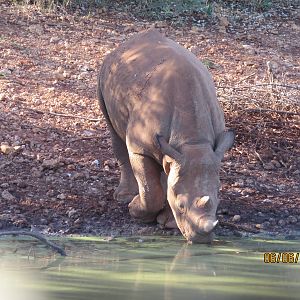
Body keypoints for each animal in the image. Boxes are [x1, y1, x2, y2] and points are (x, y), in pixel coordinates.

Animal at [98, 28, 234, 244]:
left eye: (218, 197)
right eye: (181, 206)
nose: (201, 239)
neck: (192, 142)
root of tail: (126, 44)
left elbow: (172, 178)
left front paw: (168, 223)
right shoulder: (139, 149)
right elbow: (149, 189)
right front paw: (135, 210)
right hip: (105, 74)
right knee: (114, 131)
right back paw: (124, 197)